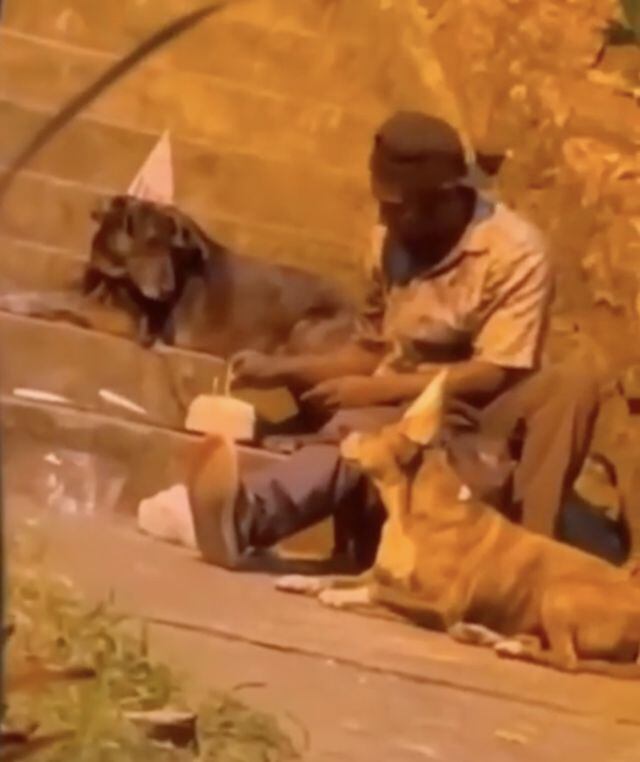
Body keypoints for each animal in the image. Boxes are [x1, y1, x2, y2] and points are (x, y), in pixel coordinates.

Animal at [278, 372, 640, 672]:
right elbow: (340, 577)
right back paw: (485, 635)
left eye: (377, 433)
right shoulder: (377, 573)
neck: (407, 513)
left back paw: (510, 647)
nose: (342, 430)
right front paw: (302, 580)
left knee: (568, 660)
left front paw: (340, 597)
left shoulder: (441, 604)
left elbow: (376, 592)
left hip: (560, 592)